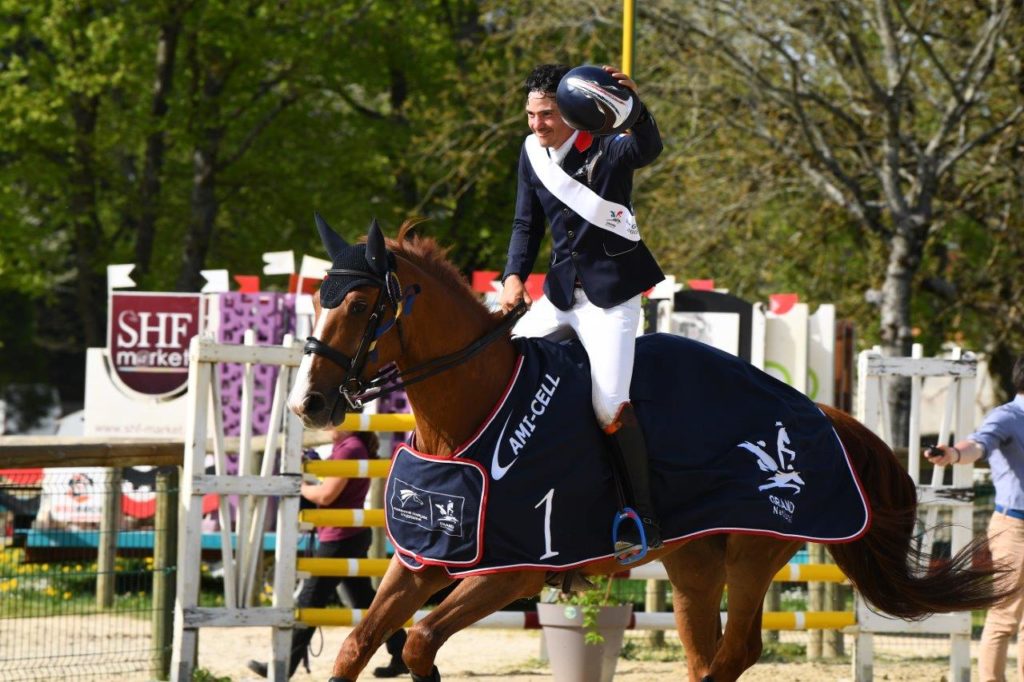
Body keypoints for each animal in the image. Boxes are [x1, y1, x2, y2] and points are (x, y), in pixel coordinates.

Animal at [286, 216, 999, 679]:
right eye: (317, 301)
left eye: (359, 305)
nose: (309, 405)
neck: (468, 414)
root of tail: (818, 412)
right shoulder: (423, 559)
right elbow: (358, 645)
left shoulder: (514, 571)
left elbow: (420, 642)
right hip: (694, 562)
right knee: (708, 656)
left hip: (752, 553)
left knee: (732, 656)